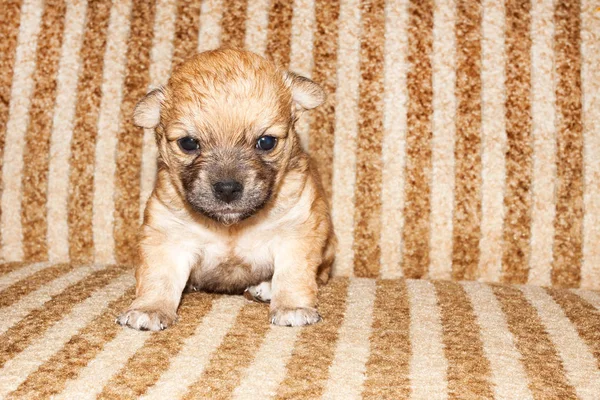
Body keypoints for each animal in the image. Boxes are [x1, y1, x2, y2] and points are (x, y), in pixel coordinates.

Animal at [115, 49, 336, 332]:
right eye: (189, 143)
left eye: (266, 142)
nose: (227, 189)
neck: (231, 227)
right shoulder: (167, 237)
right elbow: (158, 277)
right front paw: (149, 308)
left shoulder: (297, 232)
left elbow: (293, 274)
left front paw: (292, 307)